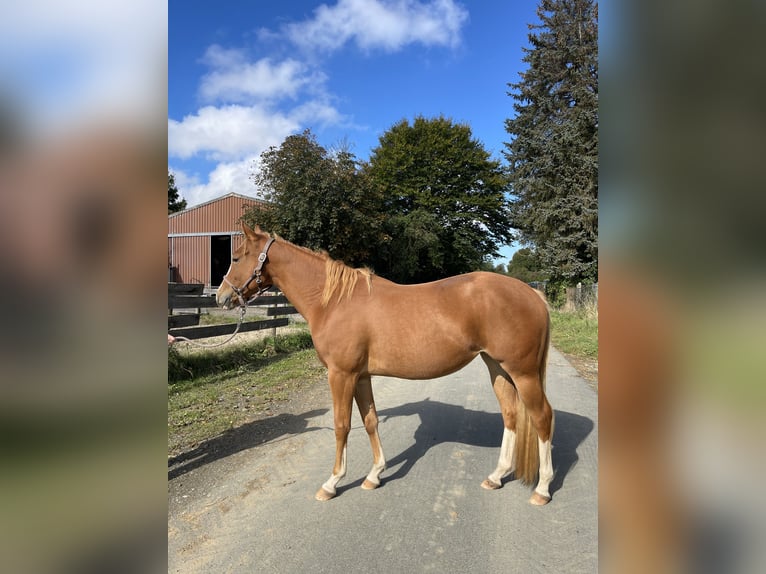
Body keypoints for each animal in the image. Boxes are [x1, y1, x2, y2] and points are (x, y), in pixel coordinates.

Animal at [216, 224, 554, 505]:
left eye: (235, 257)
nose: (221, 297)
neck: (335, 301)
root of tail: (532, 293)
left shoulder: (341, 375)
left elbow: (341, 425)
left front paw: (332, 483)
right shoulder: (361, 376)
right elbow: (370, 421)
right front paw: (374, 475)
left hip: (523, 373)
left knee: (541, 417)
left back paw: (542, 489)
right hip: (497, 367)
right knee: (511, 415)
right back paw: (496, 477)